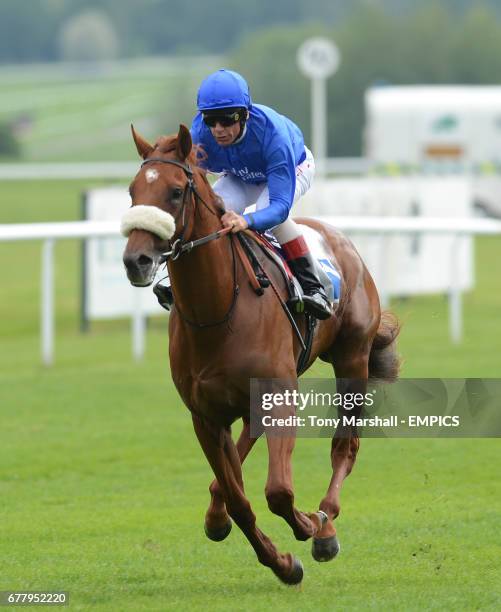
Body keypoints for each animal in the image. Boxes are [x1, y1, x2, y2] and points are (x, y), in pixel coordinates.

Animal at [121, 123, 398, 584]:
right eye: (132, 191)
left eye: (176, 192)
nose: (136, 260)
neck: (217, 311)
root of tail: (342, 241)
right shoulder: (205, 415)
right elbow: (239, 498)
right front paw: (282, 563)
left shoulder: (281, 397)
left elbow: (279, 492)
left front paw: (309, 525)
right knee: (242, 452)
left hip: (352, 361)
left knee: (345, 447)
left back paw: (326, 523)